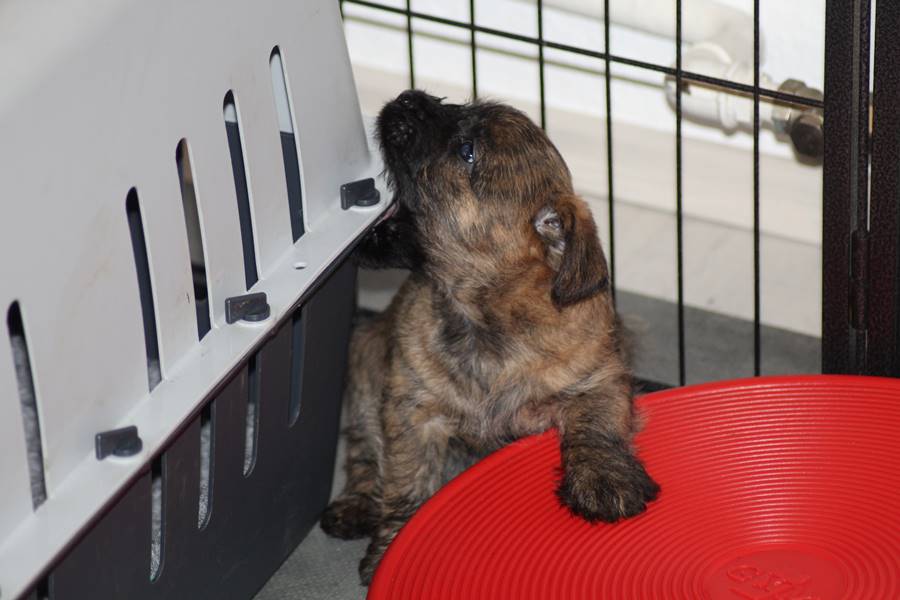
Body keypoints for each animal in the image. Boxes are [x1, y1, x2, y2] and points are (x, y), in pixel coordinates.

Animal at [321, 90, 659, 584]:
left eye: (467, 152)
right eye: (459, 106)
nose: (408, 97)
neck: (483, 322)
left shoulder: (600, 378)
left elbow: (595, 426)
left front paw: (604, 480)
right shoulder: (412, 411)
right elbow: (408, 480)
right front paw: (393, 545)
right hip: (365, 363)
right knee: (364, 451)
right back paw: (354, 504)